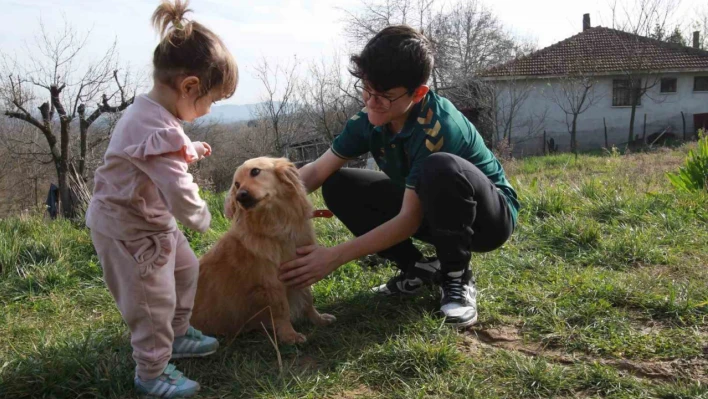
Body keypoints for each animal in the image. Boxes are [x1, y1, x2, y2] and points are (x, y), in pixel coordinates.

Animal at [191, 156, 334, 344]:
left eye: (255, 171)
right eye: (236, 184)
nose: (240, 196)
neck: (276, 225)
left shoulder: (302, 268)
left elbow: (307, 299)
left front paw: (318, 319)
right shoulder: (271, 284)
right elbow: (282, 310)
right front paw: (289, 335)